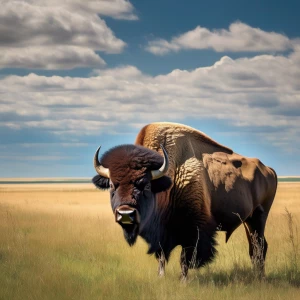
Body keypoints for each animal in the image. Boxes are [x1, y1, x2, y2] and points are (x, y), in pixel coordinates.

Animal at [92, 121, 278, 278]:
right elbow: (161, 257)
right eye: (112, 185)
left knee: (260, 246)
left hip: (260, 216)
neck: (170, 178)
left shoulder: (193, 230)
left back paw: (260, 277)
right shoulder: (162, 233)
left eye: (146, 185)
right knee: (255, 247)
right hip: (249, 220)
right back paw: (257, 275)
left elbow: (185, 259)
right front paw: (161, 277)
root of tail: (268, 169)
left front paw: (183, 281)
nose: (125, 214)